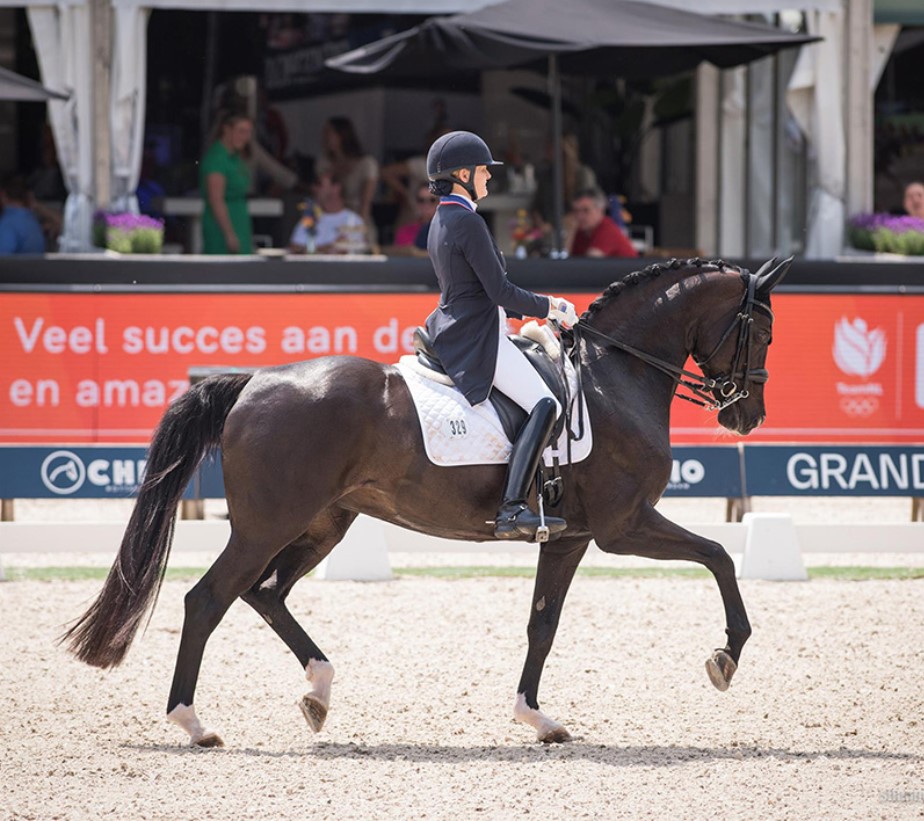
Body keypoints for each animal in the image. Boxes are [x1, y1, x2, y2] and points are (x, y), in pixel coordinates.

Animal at [63, 255, 788, 744]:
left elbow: (543, 623)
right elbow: (720, 555)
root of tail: (253, 383)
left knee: (265, 593)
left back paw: (318, 691)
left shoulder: (572, 535)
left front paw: (537, 717)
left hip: (324, 521)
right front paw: (727, 655)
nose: (747, 416)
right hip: (268, 524)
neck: (616, 376)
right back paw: (193, 722)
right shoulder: (624, 525)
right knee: (209, 599)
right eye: (761, 331)